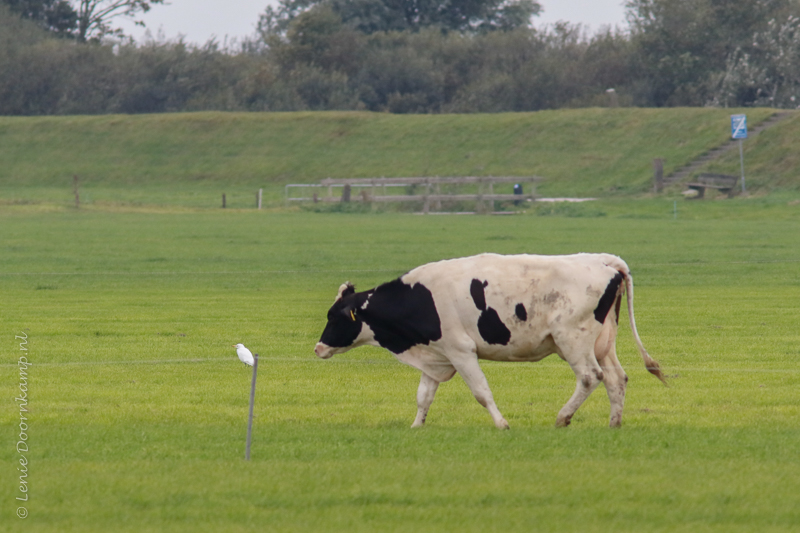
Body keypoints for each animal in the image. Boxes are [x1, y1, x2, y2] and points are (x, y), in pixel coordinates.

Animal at [316, 252, 664, 428]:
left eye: (334, 317)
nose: (318, 347)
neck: (421, 298)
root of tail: (604, 261)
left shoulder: (461, 351)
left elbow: (481, 392)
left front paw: (501, 424)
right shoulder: (437, 356)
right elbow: (423, 396)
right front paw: (416, 427)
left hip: (573, 340)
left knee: (591, 377)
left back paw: (563, 417)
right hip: (602, 342)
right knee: (616, 378)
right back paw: (614, 423)